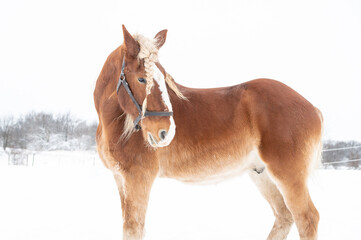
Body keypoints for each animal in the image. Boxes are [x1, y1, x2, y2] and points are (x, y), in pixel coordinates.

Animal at [93, 24, 324, 240]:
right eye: (141, 78)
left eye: (165, 77)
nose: (166, 132)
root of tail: (313, 108)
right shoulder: (121, 179)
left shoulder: (138, 179)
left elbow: (134, 229)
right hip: (262, 175)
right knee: (284, 216)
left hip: (288, 176)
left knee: (307, 218)